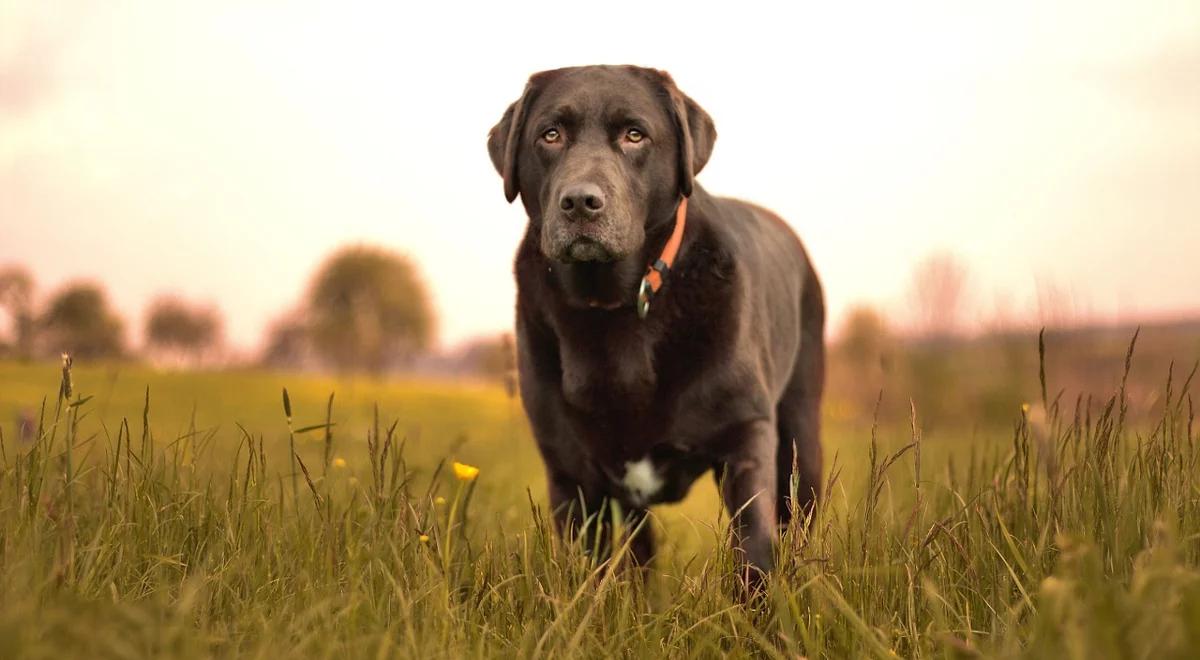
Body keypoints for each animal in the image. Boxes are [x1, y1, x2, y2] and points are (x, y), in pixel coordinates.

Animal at [487, 63, 825, 580]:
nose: (580, 202)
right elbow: (592, 573)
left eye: (634, 135)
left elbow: (753, 547)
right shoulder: (571, 473)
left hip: (802, 437)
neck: (614, 308)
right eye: (550, 134)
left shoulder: (746, 433)